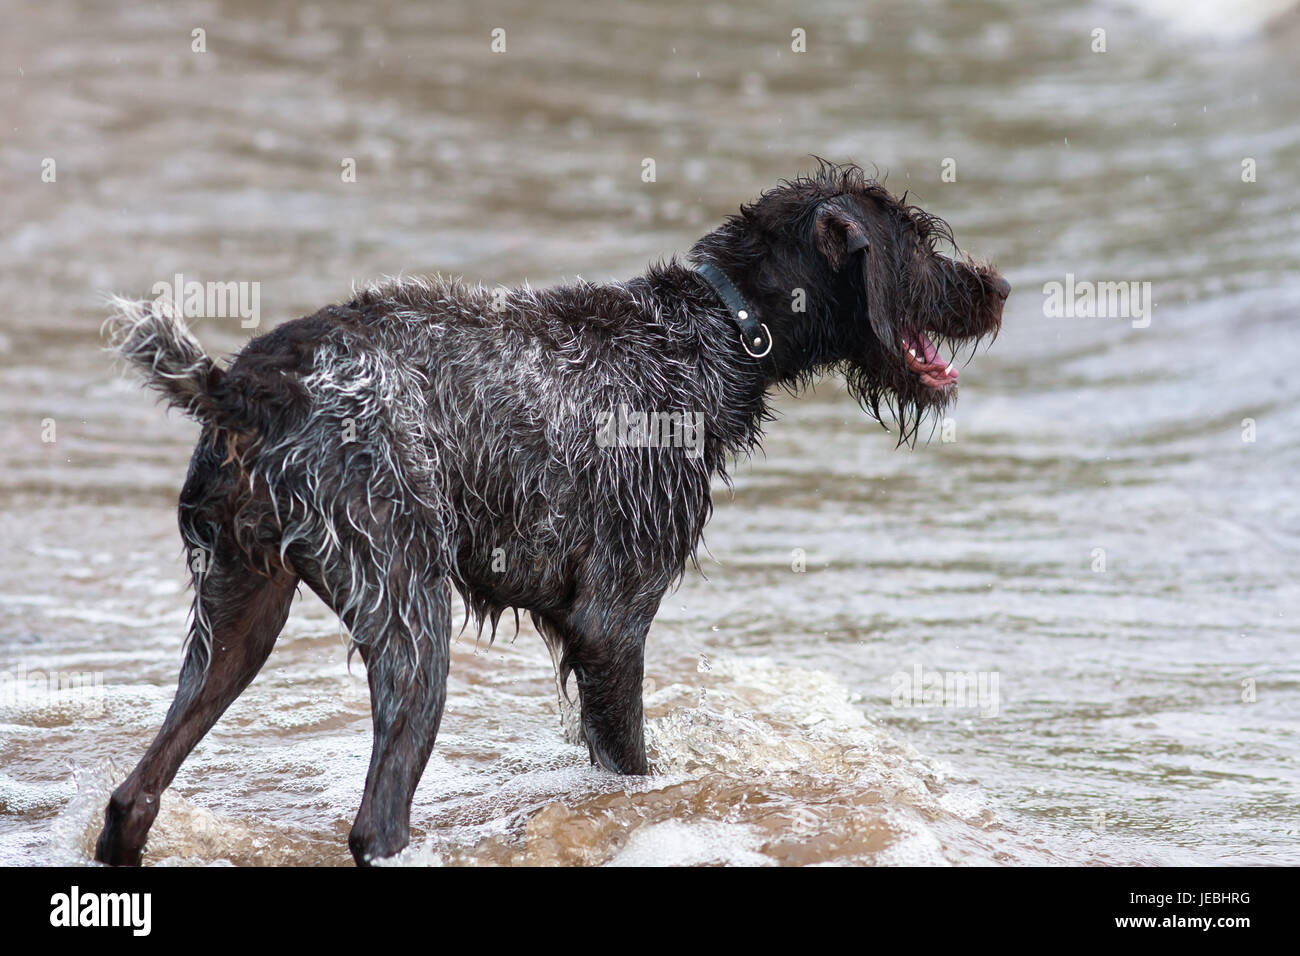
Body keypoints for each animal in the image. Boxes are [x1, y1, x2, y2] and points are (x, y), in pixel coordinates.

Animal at [96, 162, 1008, 868]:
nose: (997, 288)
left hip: (238, 620)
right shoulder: (612, 623)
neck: (711, 333)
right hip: (411, 620)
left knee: (132, 798)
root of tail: (248, 387)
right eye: (919, 239)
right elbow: (634, 766)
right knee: (375, 824)